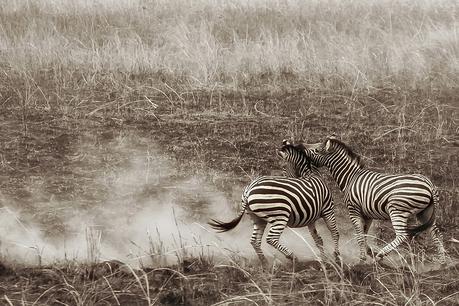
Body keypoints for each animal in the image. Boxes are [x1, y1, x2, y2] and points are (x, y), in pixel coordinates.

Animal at [208, 142, 342, 264]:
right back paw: (292, 257)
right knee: (271, 239)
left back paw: (265, 263)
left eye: (283, 168)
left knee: (254, 241)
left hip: (257, 217)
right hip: (280, 215)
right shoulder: (328, 210)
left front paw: (324, 260)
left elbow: (318, 239)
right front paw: (336, 257)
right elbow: (335, 233)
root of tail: (249, 189)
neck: (311, 174)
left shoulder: (311, 219)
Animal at [300, 136, 448, 262]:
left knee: (402, 235)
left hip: (397, 210)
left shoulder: (353, 210)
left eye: (317, 150)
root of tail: (429, 186)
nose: (300, 146)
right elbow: (364, 234)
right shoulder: (367, 214)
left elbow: (360, 235)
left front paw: (362, 258)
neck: (350, 178)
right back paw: (442, 262)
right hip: (425, 213)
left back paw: (381, 254)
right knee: (436, 234)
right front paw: (368, 252)